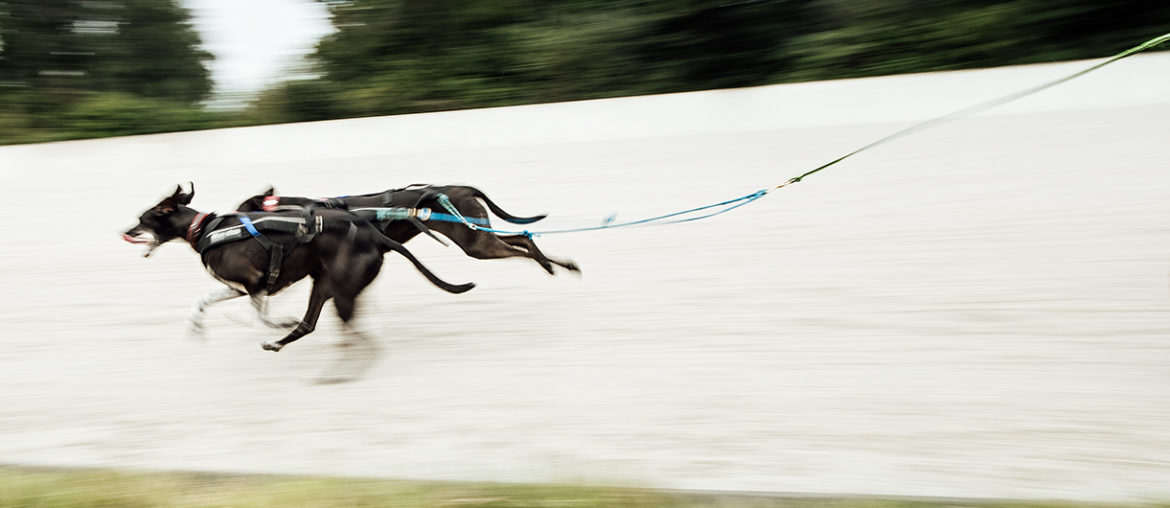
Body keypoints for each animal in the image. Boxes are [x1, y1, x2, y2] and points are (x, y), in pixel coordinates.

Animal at [123, 183, 475, 353]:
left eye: (142, 219)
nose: (124, 232)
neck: (204, 229)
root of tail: (375, 235)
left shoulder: (255, 283)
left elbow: (259, 318)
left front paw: (278, 322)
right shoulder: (238, 288)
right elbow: (203, 301)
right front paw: (196, 325)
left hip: (337, 286)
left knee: (326, 324)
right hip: (324, 284)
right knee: (309, 324)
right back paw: (281, 343)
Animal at [237, 184, 580, 276]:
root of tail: (464, 188)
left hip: (476, 243)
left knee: (522, 244)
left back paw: (550, 264)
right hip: (478, 236)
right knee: (523, 238)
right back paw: (559, 264)